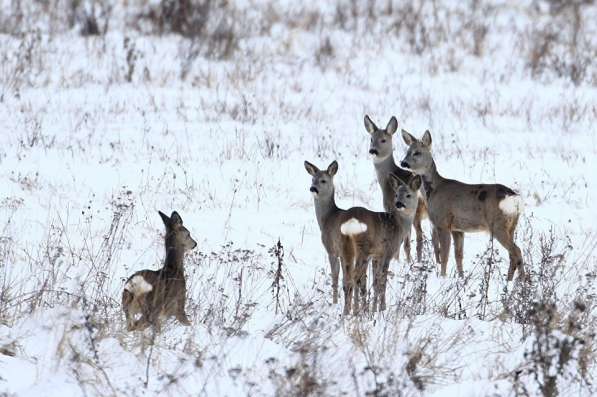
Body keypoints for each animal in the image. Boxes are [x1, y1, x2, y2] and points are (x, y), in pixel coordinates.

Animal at [302, 160, 420, 312]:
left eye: (408, 195)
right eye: (396, 195)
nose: (313, 188)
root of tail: (351, 225)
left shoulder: (373, 255)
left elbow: (373, 282)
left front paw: (372, 308)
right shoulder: (387, 251)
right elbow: (380, 281)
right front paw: (381, 308)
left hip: (350, 249)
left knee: (350, 280)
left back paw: (350, 311)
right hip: (361, 248)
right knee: (353, 278)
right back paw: (353, 311)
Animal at [360, 114, 436, 262]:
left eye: (383, 140)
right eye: (371, 139)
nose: (373, 150)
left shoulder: (391, 208)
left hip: (416, 213)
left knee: (418, 238)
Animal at [400, 129, 520, 278]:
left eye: (417, 152)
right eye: (407, 151)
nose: (403, 163)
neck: (433, 191)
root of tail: (513, 198)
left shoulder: (443, 222)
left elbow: (444, 255)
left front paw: (443, 277)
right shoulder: (458, 229)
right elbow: (458, 255)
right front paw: (461, 277)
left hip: (498, 225)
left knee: (517, 251)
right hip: (512, 225)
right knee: (514, 254)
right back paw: (514, 281)